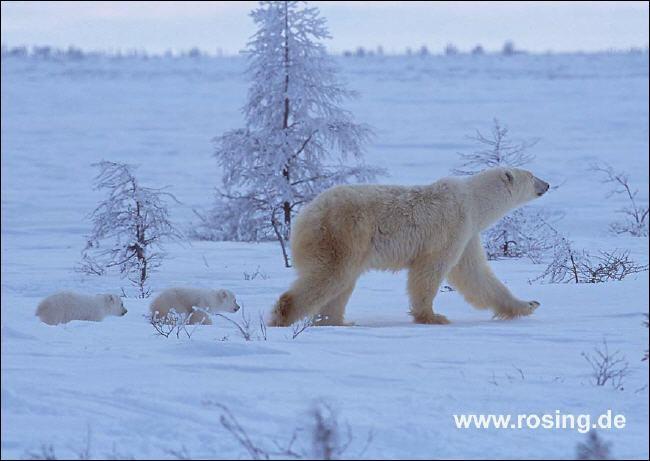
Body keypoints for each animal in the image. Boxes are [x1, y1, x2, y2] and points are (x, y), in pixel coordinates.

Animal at [268, 167, 548, 326]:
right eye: (531, 175)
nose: (547, 184)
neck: (474, 201)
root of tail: (305, 216)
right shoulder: (451, 227)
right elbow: (430, 270)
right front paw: (433, 317)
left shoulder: (468, 235)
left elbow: (475, 275)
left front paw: (528, 304)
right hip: (342, 234)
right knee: (329, 276)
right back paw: (283, 316)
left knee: (341, 284)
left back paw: (337, 322)